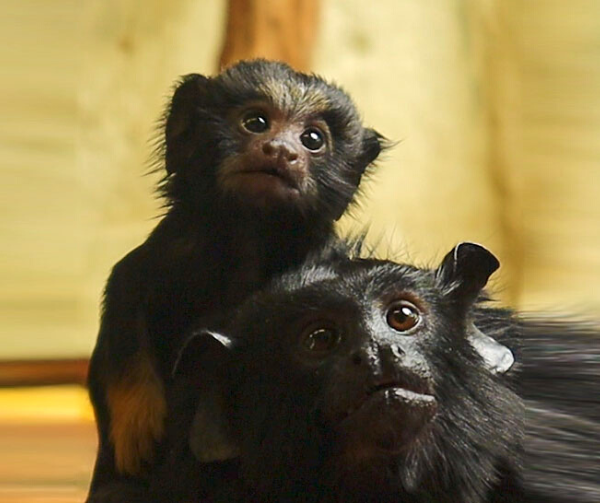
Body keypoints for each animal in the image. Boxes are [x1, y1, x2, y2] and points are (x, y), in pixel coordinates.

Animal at [85, 60, 384, 500]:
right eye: (256, 122)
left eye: (313, 139)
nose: (281, 150)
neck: (250, 237)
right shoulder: (168, 254)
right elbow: (125, 297)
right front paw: (136, 424)